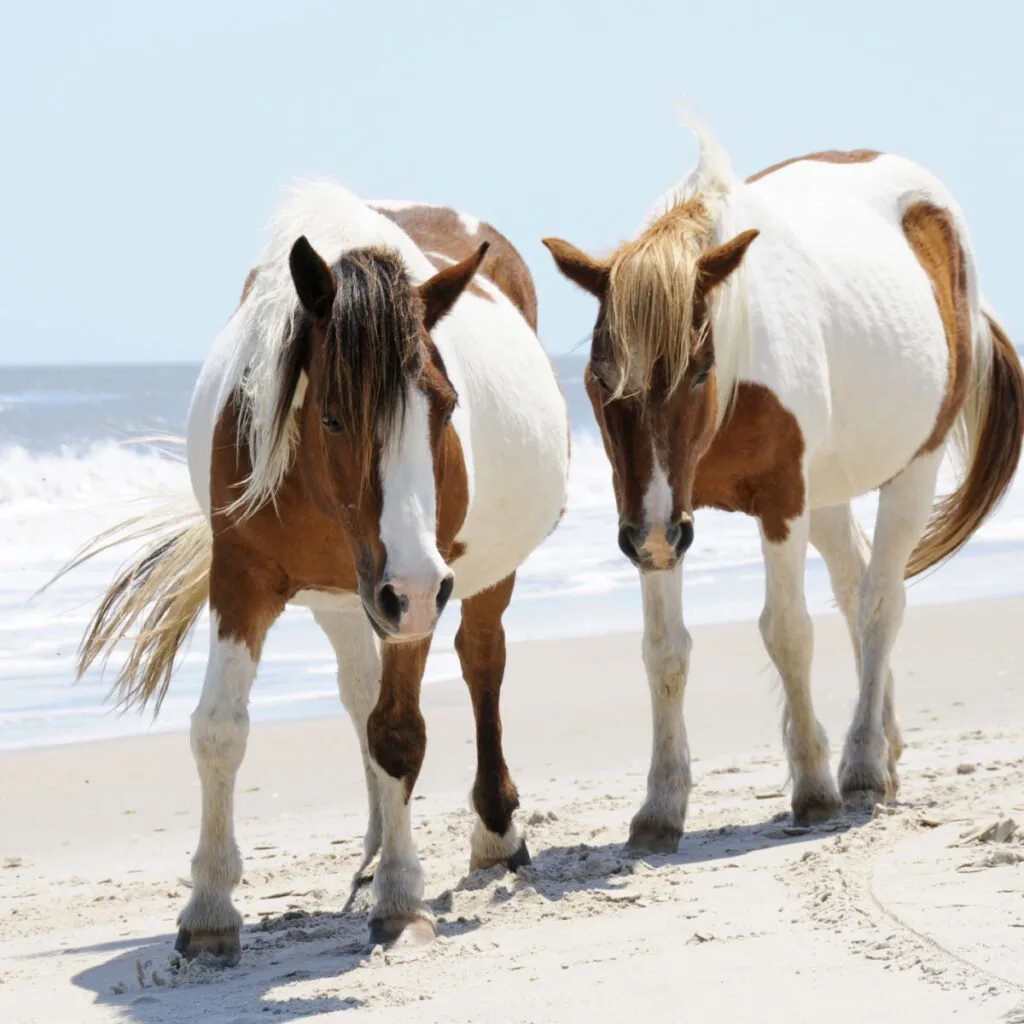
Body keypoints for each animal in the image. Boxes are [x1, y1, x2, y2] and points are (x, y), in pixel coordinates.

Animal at [56, 182, 570, 958]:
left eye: (447, 407)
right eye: (331, 417)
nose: (416, 588)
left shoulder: (415, 593)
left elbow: (400, 733)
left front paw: (400, 901)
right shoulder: (244, 579)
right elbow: (220, 730)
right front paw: (209, 911)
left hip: (469, 580)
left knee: (481, 663)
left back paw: (494, 834)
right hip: (349, 600)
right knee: (359, 693)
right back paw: (377, 841)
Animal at [543, 119, 1024, 852]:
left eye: (698, 370)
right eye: (600, 377)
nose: (649, 537)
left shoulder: (775, 503)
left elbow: (788, 631)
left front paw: (815, 787)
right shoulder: (659, 515)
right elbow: (664, 651)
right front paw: (660, 806)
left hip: (911, 468)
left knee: (880, 600)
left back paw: (861, 766)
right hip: (823, 491)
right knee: (855, 586)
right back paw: (884, 747)